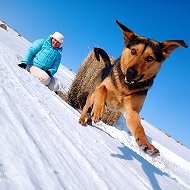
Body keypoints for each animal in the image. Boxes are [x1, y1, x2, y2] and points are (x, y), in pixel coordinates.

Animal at [78, 20, 187, 156]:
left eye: (149, 58)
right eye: (133, 51)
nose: (130, 72)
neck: (126, 87)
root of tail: (107, 65)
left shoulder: (132, 112)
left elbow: (139, 128)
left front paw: (146, 145)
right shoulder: (102, 88)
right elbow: (103, 89)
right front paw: (98, 110)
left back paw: (90, 120)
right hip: (91, 94)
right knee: (87, 106)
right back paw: (84, 119)